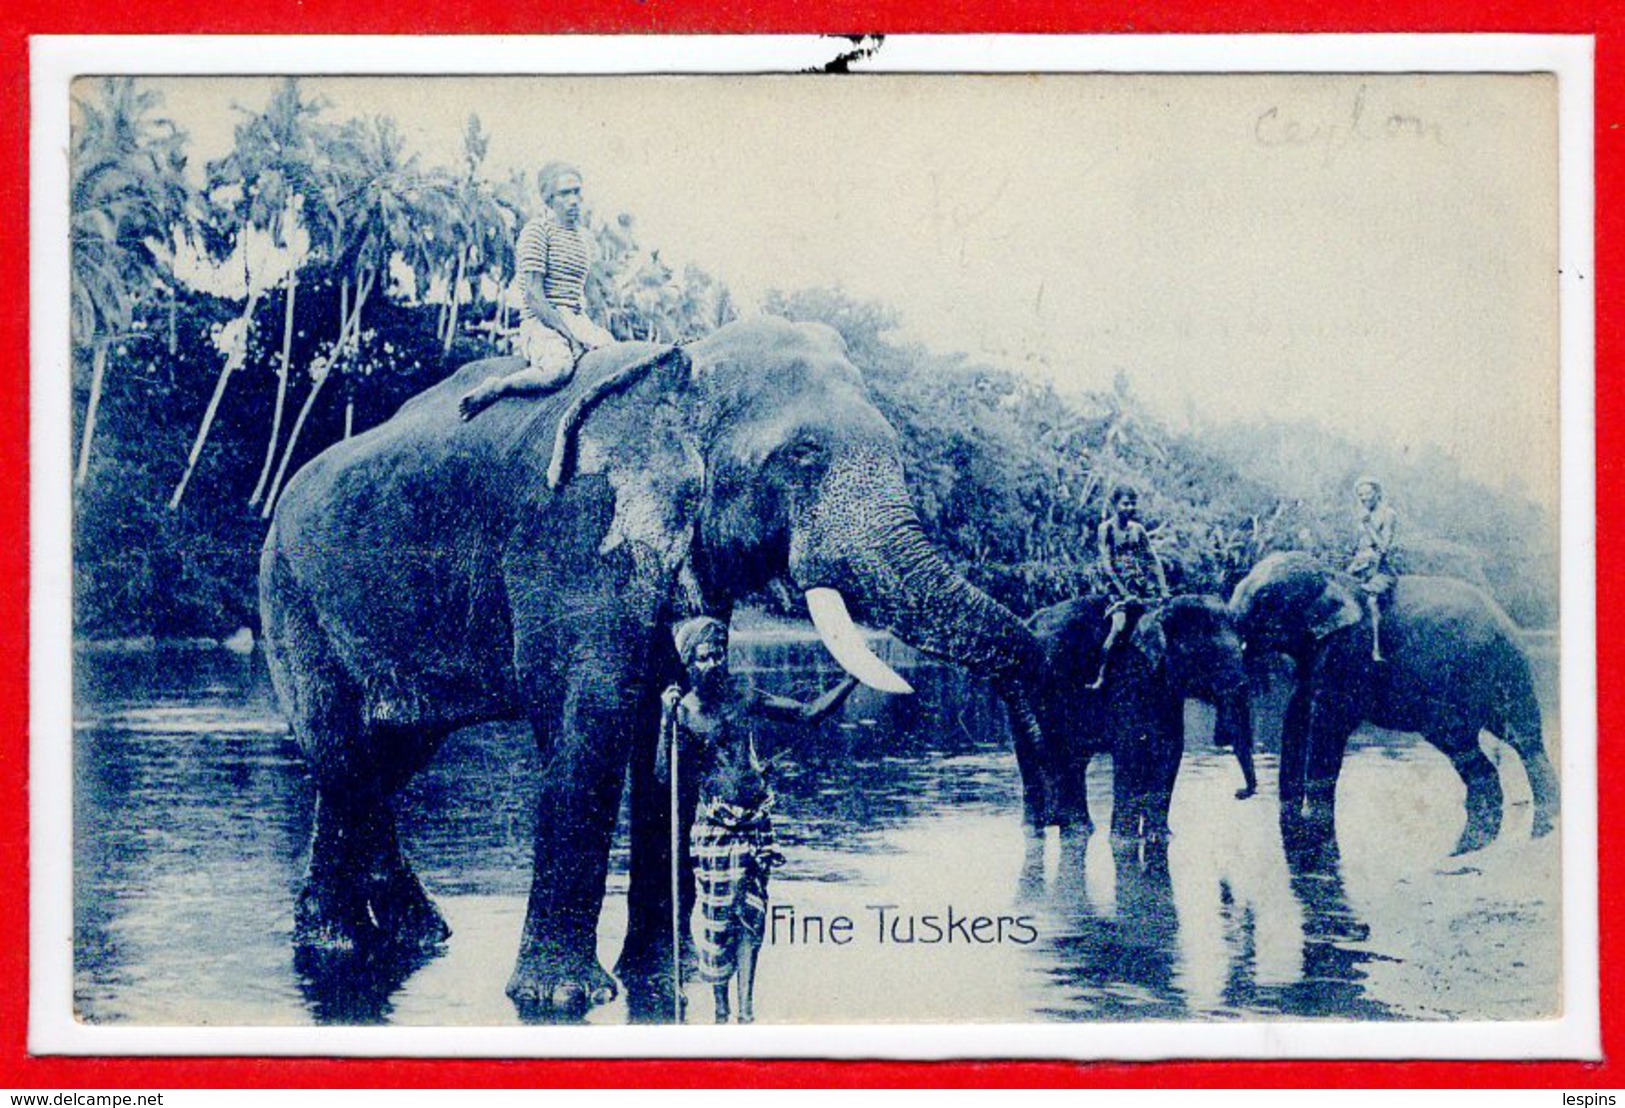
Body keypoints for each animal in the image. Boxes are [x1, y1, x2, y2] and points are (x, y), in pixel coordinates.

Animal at [256, 315, 1040, 1013]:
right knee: (346, 754)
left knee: (378, 760)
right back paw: (354, 942)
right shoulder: (574, 528)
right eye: (802, 455)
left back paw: (392, 939)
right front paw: (563, 998)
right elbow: (592, 720)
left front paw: (664, 978)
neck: (687, 362)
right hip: (290, 598)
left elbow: (666, 729)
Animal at [1027, 594, 1254, 838]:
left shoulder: (1165, 688)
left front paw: (1161, 836)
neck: (1160, 608)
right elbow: (1131, 750)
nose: (1239, 793)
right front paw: (1124, 839)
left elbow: (1169, 748)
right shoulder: (1128, 673)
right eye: (1207, 657)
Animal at [1228, 549, 1560, 851]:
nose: (1239, 794)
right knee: (1510, 742)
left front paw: (1316, 819)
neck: (1333, 576)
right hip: (1506, 674)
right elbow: (1296, 716)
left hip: (1480, 676)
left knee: (1484, 744)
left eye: (1265, 598)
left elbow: (1327, 728)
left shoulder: (1348, 654)